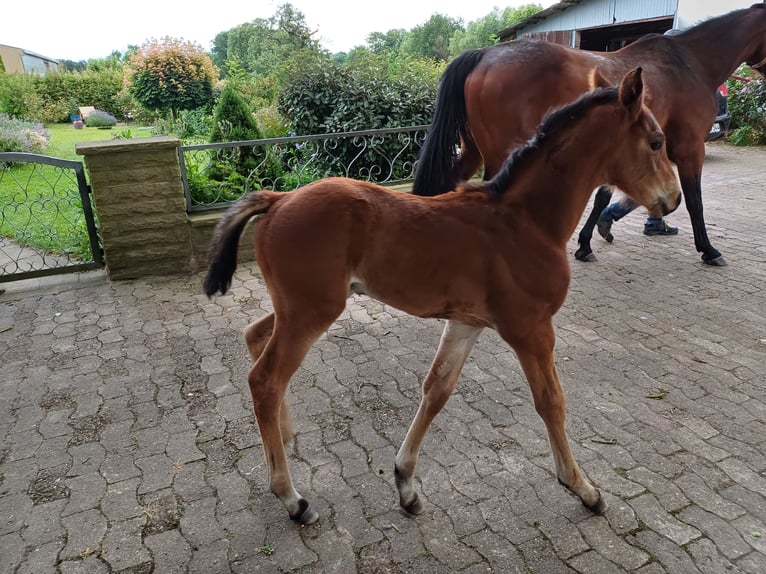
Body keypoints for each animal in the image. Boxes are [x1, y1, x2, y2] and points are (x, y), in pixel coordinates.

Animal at [204, 67, 684, 528]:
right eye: (656, 142)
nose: (674, 199)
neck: (526, 222)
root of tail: (279, 198)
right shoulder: (531, 328)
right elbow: (551, 401)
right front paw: (583, 488)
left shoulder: (467, 322)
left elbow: (436, 389)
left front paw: (406, 484)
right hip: (312, 310)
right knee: (266, 380)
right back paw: (292, 498)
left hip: (300, 306)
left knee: (255, 336)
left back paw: (285, 435)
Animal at [414, 1, 766, 268]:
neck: (689, 63)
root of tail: (483, 54)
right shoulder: (690, 147)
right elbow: (694, 200)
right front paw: (708, 249)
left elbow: (607, 195)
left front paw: (592, 239)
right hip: (498, 153)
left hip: (473, 150)